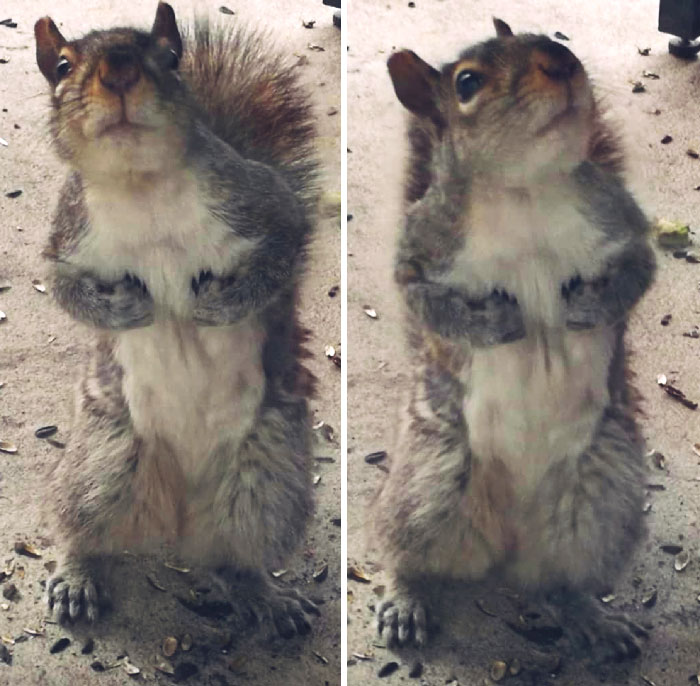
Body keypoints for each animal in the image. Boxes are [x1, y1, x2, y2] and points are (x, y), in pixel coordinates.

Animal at [34, 3, 321, 638]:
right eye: (61, 66)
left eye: (169, 58)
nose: (118, 73)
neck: (142, 186)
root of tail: (178, 505)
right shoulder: (67, 236)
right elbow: (65, 288)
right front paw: (126, 309)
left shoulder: (263, 202)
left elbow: (285, 248)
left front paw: (220, 305)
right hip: (102, 459)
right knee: (84, 527)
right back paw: (77, 576)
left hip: (266, 479)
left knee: (235, 553)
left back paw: (264, 596)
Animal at [373, 18, 656, 663]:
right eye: (467, 83)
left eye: (552, 36)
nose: (561, 63)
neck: (527, 193)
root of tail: (507, 540)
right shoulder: (420, 248)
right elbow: (427, 300)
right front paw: (494, 325)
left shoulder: (623, 224)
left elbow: (636, 273)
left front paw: (588, 308)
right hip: (429, 480)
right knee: (407, 548)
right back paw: (405, 598)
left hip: (601, 502)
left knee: (563, 581)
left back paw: (592, 616)